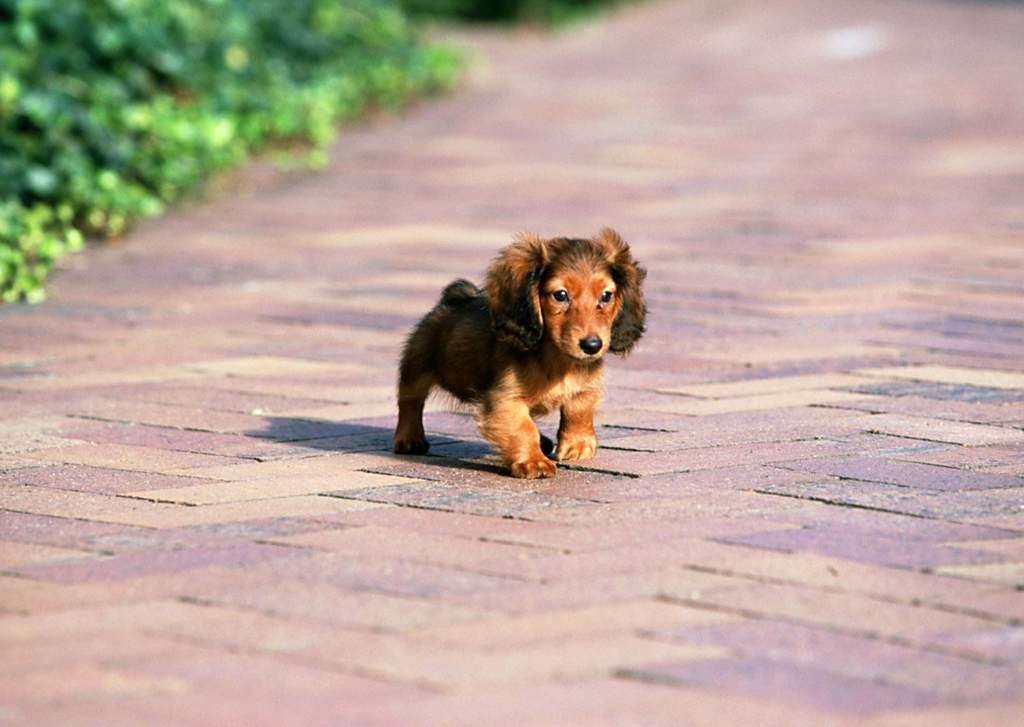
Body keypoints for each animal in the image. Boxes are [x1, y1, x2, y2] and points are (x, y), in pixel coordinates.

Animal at [393, 227, 647, 479]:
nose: (592, 345)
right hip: (416, 366)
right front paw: (533, 462)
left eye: (606, 296)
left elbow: (579, 410)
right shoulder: (505, 398)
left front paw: (578, 444)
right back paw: (409, 438)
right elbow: (523, 427)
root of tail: (454, 298)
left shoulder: (585, 386)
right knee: (410, 402)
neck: (558, 361)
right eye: (560, 295)